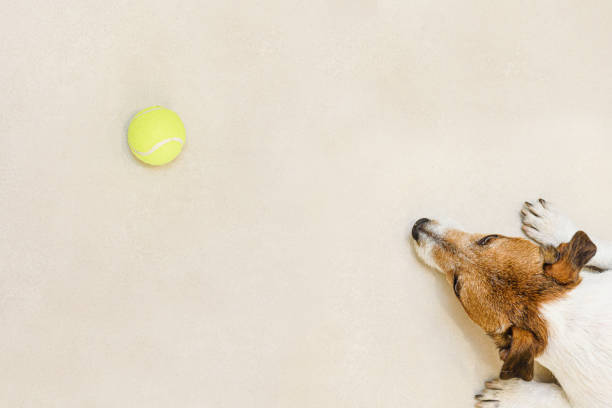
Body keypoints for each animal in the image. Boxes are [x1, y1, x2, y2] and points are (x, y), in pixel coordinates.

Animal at [408, 198, 612, 408]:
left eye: (457, 287)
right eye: (489, 238)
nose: (418, 225)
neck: (569, 315)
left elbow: (552, 397)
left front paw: (510, 395)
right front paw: (552, 225)